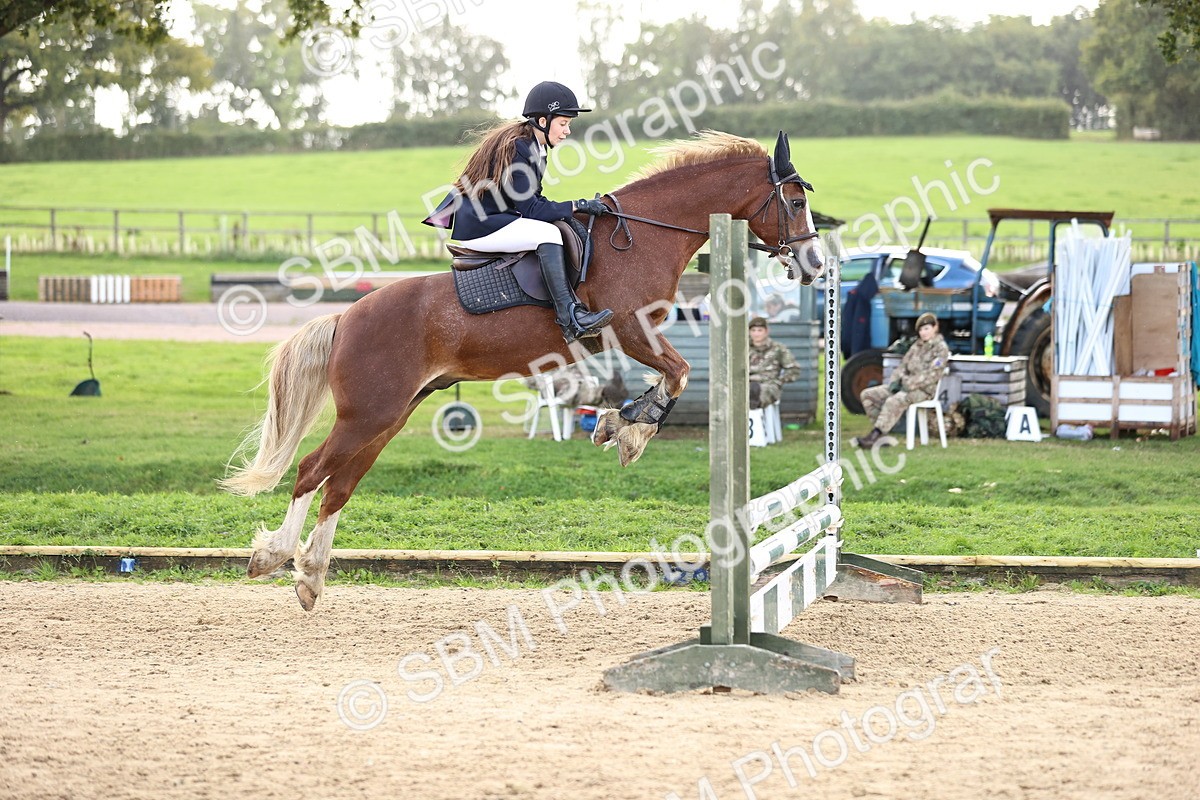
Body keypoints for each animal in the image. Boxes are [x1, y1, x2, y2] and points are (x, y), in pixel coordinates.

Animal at [220, 130, 825, 611]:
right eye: (795, 200)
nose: (815, 265)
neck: (643, 236)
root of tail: (346, 316)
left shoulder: (637, 337)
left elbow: (669, 378)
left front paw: (618, 422)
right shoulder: (632, 330)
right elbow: (677, 374)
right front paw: (629, 432)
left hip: (388, 416)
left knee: (339, 485)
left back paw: (311, 577)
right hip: (368, 414)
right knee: (310, 471)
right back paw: (275, 556)